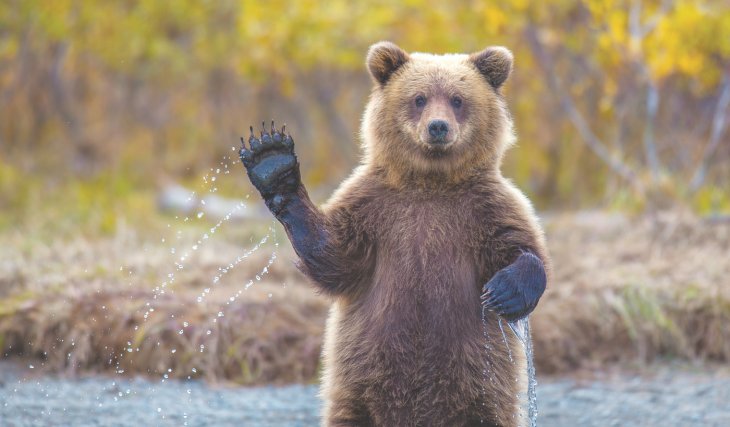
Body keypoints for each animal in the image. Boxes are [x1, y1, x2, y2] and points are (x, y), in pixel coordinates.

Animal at [237, 41, 544, 427]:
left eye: (457, 99)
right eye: (419, 98)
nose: (438, 127)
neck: (430, 181)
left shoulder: (484, 207)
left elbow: (520, 245)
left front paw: (505, 292)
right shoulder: (375, 207)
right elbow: (335, 256)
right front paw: (272, 161)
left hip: (481, 391)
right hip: (358, 388)